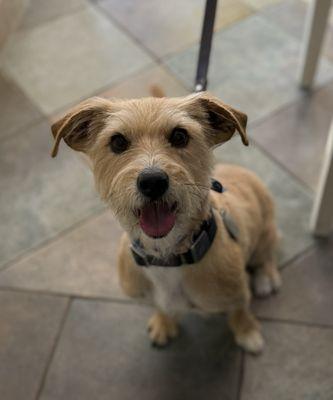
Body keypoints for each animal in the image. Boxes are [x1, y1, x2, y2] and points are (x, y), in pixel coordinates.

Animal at [51, 91, 280, 354]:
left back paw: (265, 279)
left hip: (267, 233)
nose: (152, 182)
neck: (166, 258)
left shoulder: (236, 294)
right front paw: (163, 323)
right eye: (118, 142)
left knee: (267, 256)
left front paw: (248, 332)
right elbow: (162, 307)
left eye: (180, 136)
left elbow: (240, 311)